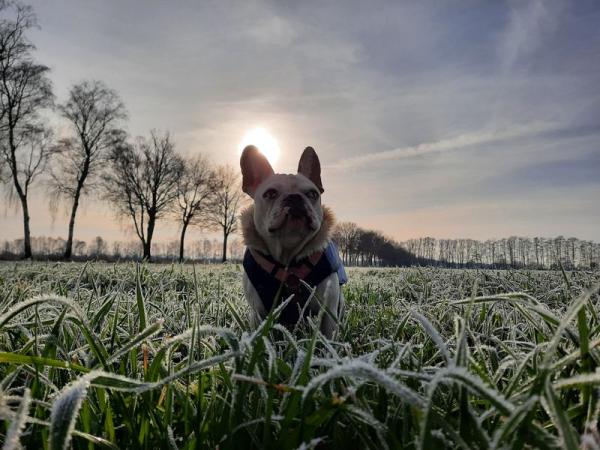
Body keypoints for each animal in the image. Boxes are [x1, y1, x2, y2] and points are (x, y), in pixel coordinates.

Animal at [240, 145, 346, 338]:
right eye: (270, 193)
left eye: (313, 194)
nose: (294, 197)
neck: (288, 256)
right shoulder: (257, 313)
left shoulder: (328, 311)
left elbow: (328, 335)